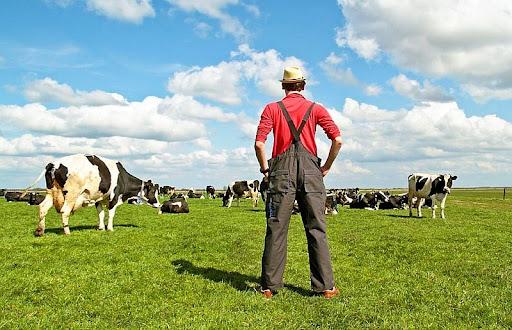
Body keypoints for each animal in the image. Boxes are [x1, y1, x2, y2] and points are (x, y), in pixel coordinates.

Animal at [22, 153, 160, 236]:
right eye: (153, 191)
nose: (159, 205)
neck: (122, 178)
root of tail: (54, 164)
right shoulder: (114, 197)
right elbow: (111, 214)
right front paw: (110, 228)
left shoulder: (98, 198)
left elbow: (101, 214)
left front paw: (101, 228)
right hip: (71, 194)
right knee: (65, 211)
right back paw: (67, 232)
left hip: (51, 192)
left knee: (43, 207)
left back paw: (40, 231)